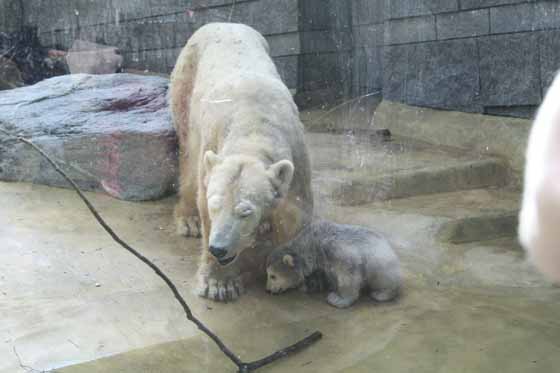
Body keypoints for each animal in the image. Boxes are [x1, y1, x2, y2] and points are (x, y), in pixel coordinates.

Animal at [168, 23, 312, 300]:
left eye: (245, 211)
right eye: (214, 206)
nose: (218, 248)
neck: (254, 125)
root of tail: (221, 23)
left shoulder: (297, 156)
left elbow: (295, 214)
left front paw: (284, 271)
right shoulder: (212, 141)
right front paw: (219, 284)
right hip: (186, 83)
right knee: (188, 156)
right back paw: (188, 220)